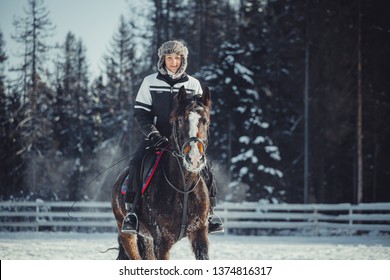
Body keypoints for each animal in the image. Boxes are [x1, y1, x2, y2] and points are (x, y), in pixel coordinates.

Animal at [111, 86, 212, 260]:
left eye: (205, 120)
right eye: (180, 120)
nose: (194, 158)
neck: (184, 186)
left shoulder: (199, 233)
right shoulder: (162, 241)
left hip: (146, 239)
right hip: (128, 235)